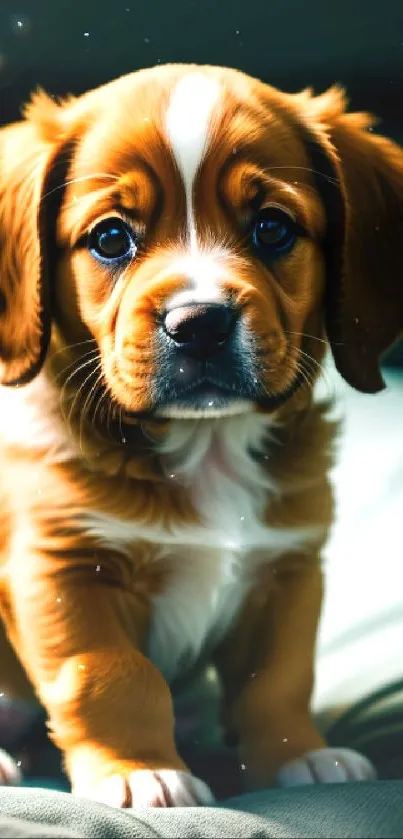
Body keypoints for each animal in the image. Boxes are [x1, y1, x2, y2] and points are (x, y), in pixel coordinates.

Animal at [0, 62, 400, 812]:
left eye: (272, 229)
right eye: (110, 239)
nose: (201, 323)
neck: (205, 446)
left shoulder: (288, 569)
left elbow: (278, 678)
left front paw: (296, 754)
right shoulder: (63, 567)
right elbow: (111, 678)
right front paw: (138, 769)